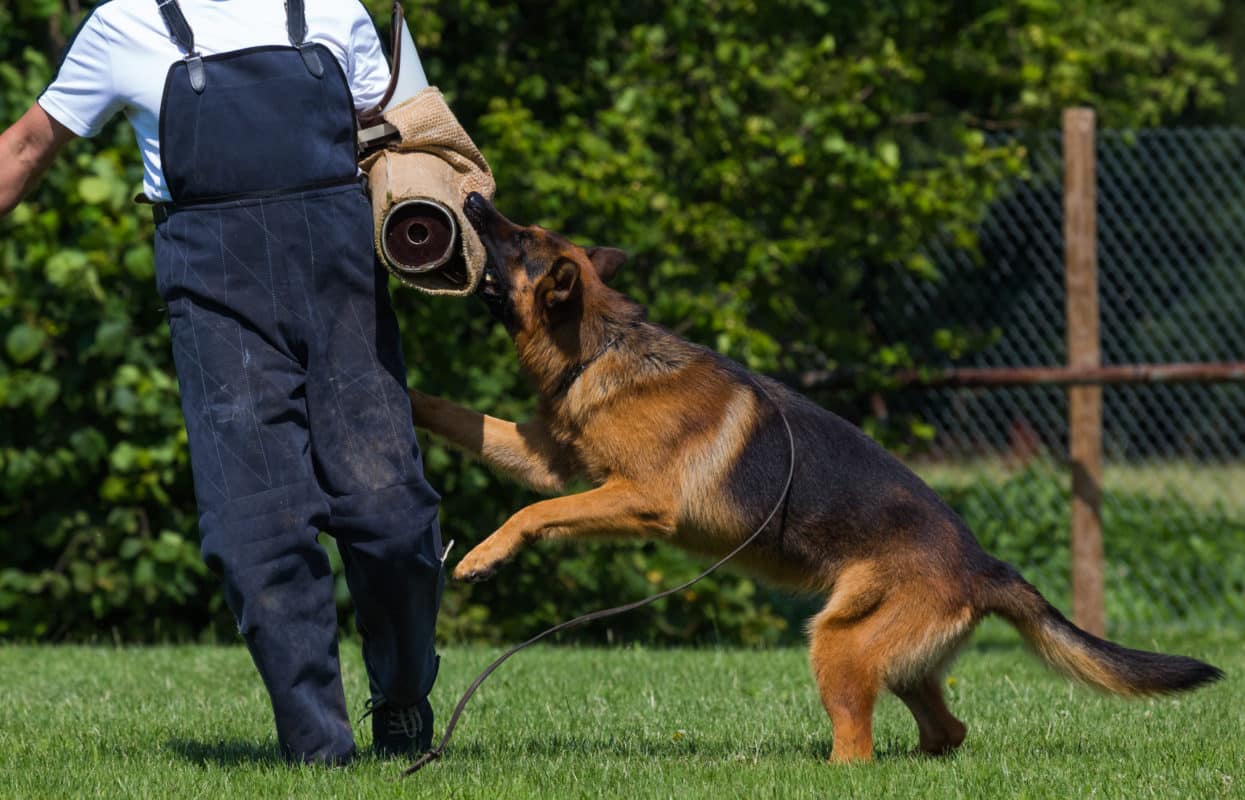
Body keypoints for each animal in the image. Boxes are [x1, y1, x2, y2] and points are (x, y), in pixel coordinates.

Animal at [405, 192, 1215, 761]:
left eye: (519, 239)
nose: (471, 199)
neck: (600, 345)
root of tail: (985, 565)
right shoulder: (547, 460)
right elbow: (459, 418)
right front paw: (406, 396)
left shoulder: (638, 501)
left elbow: (532, 515)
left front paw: (482, 557)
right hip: (890, 657)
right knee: (945, 731)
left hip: (836, 645)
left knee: (858, 748)